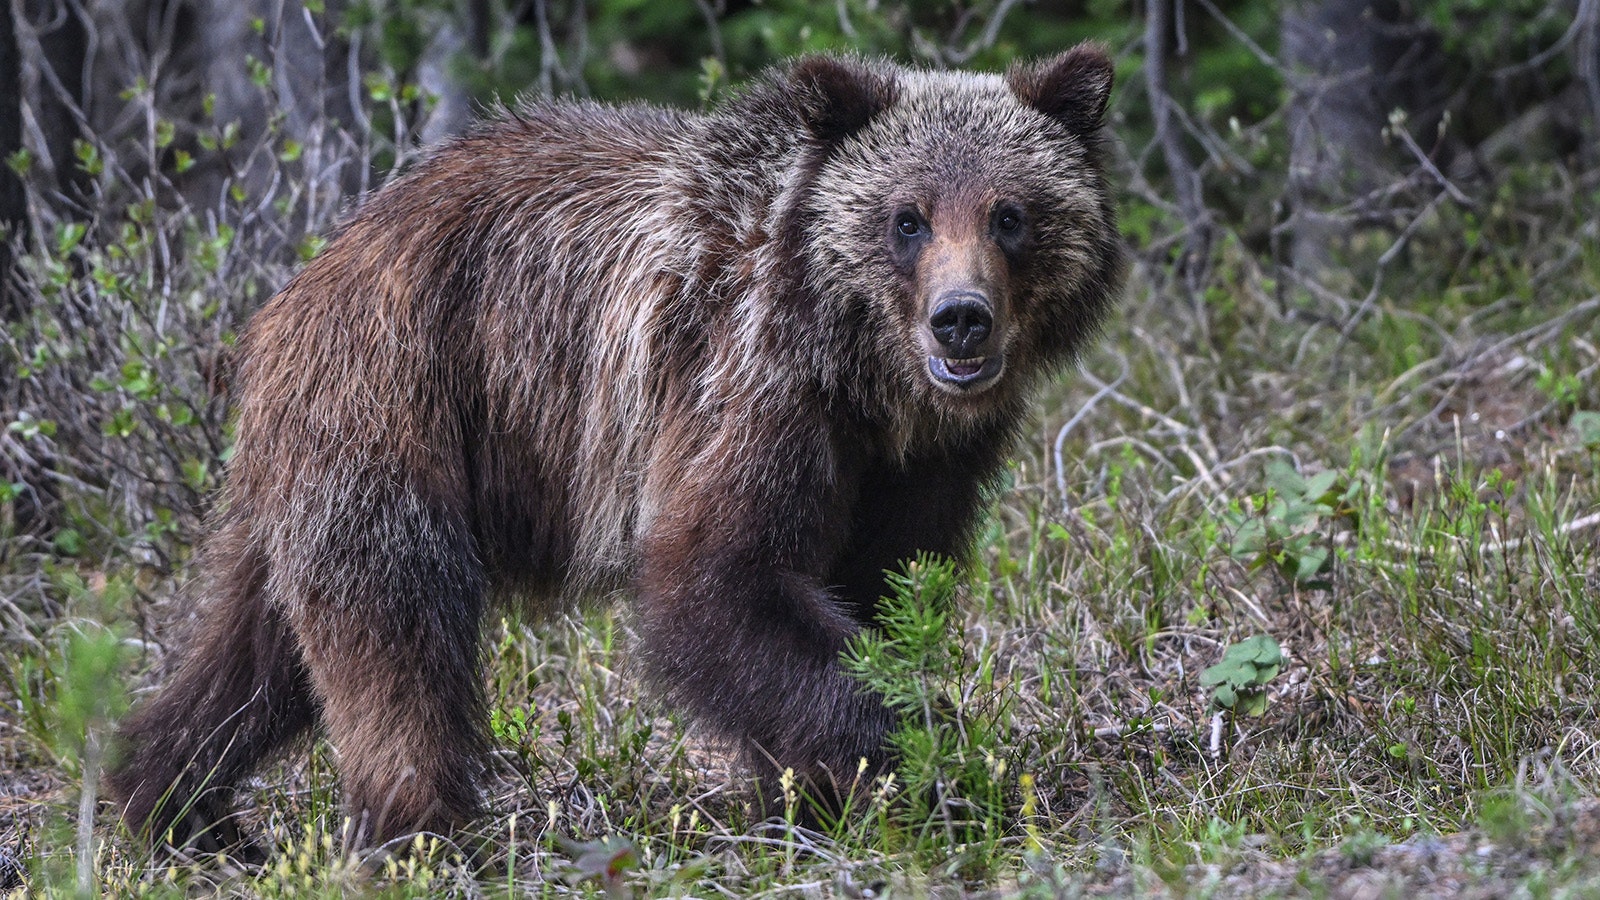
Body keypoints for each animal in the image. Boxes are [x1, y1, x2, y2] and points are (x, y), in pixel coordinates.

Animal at [106, 43, 1126, 845]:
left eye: (1011, 214)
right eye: (906, 217)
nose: (962, 319)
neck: (859, 377)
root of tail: (287, 293)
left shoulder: (919, 466)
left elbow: (877, 584)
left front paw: (813, 800)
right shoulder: (743, 389)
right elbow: (720, 579)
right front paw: (926, 760)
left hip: (307, 466)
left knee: (258, 652)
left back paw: (174, 805)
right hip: (400, 405)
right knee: (398, 635)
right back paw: (421, 832)